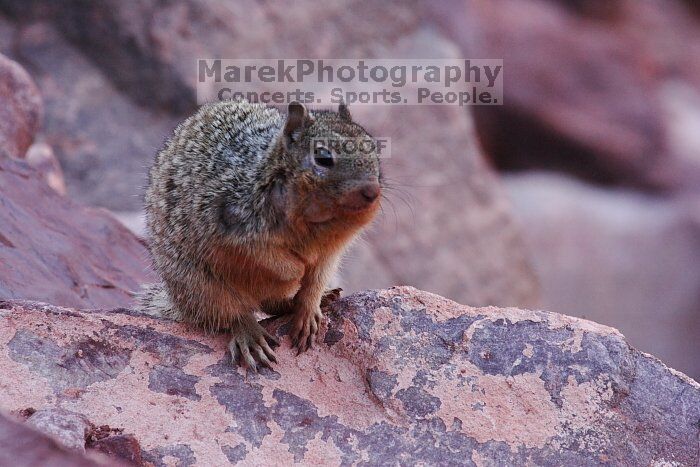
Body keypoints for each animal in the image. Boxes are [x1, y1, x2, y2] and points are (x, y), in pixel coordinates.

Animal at [139, 100, 380, 372]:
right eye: (323, 157)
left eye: (372, 146)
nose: (373, 191)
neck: (317, 223)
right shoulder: (233, 224)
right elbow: (271, 258)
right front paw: (295, 271)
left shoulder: (331, 254)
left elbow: (315, 281)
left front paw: (309, 311)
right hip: (201, 286)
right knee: (234, 314)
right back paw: (252, 336)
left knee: (269, 304)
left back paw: (313, 299)